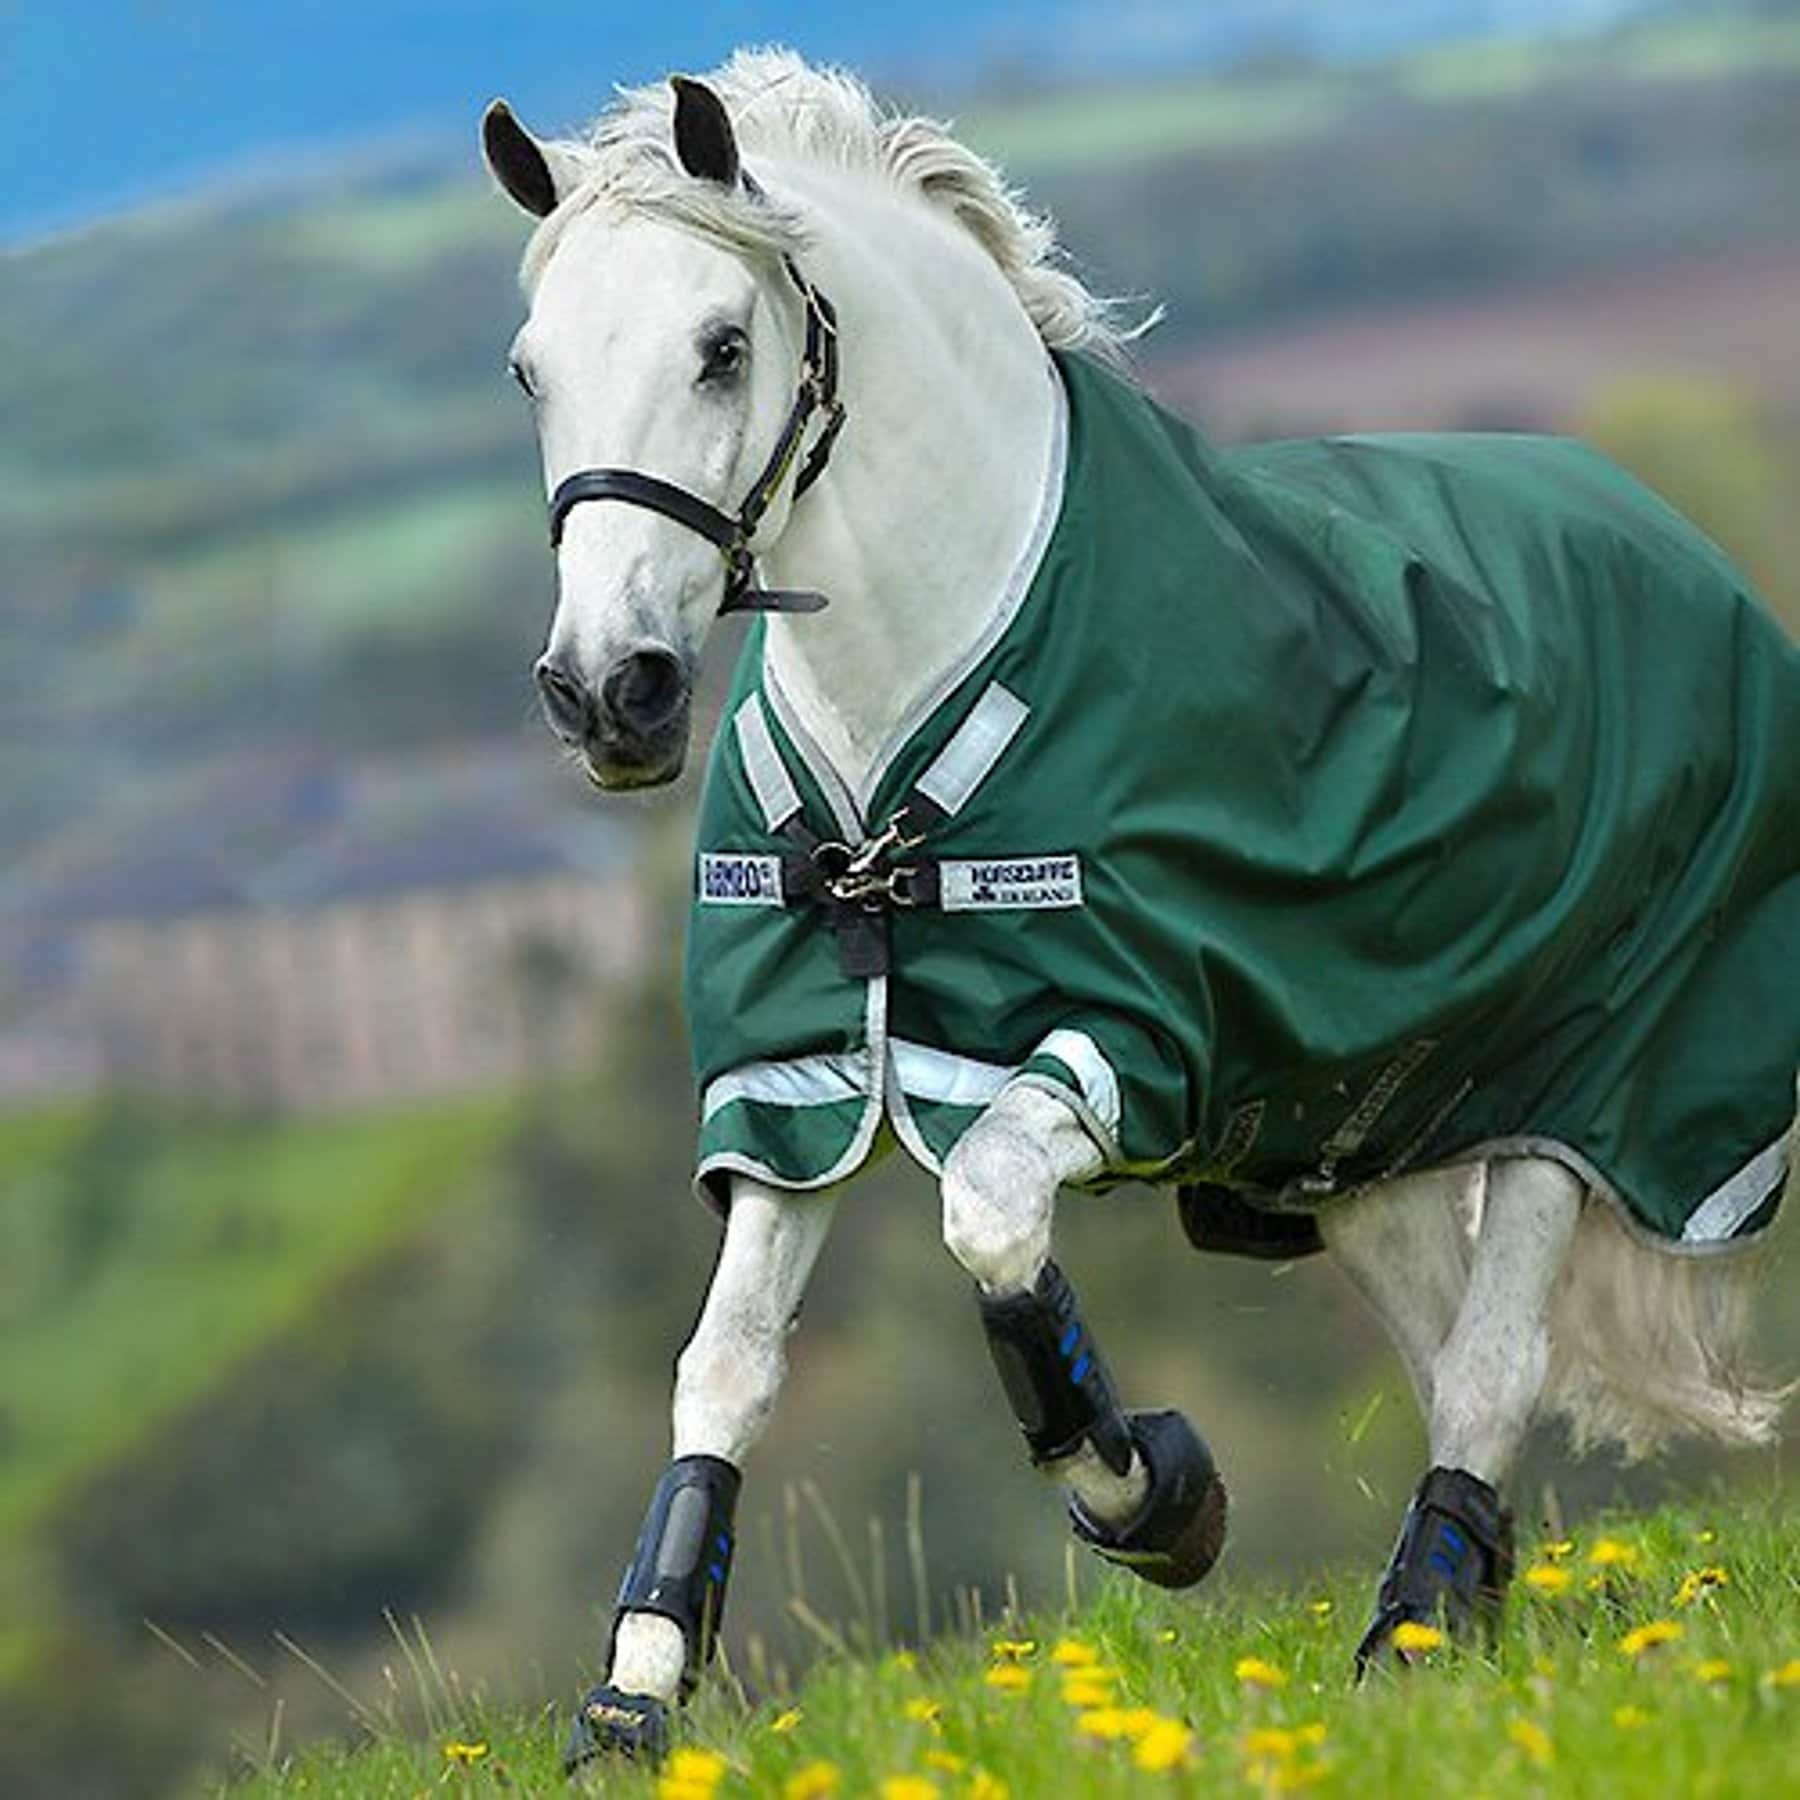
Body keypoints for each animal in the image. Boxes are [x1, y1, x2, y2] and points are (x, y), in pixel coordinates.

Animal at [478, 49, 1797, 1774]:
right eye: (530, 371)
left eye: (722, 347)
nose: (605, 695)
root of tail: (1668, 534)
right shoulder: (798, 1086)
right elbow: (725, 1369)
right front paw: (632, 1701)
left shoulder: (1124, 1037)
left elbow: (988, 1221)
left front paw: (1159, 1500)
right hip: (1358, 1142)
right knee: (1452, 1353)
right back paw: (1470, 1605)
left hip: (1584, 1089)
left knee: (1498, 1365)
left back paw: (1414, 1632)